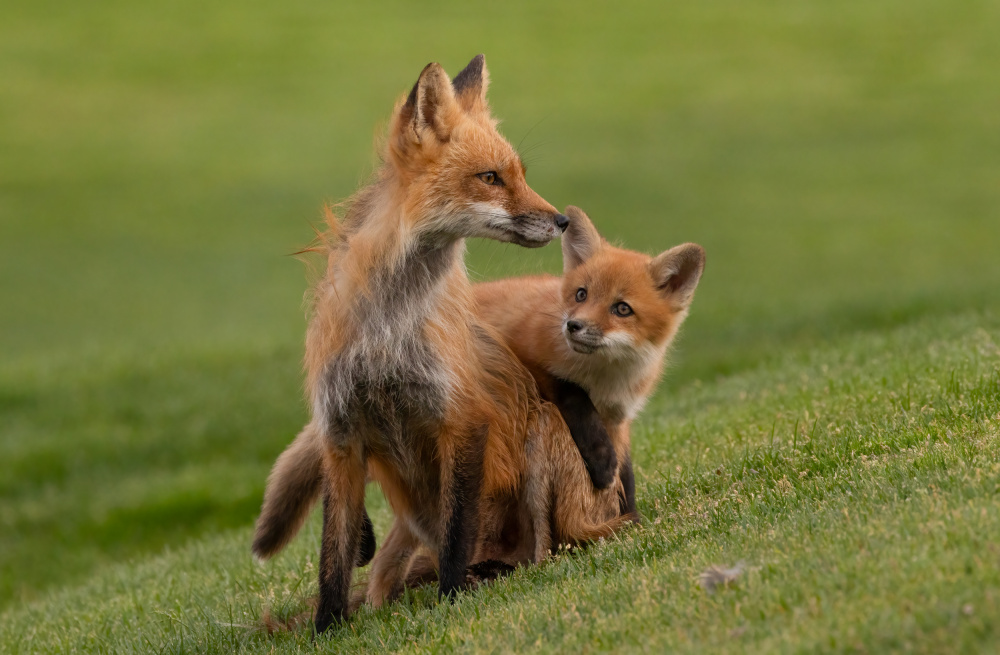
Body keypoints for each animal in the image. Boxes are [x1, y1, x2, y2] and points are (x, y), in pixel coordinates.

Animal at [251, 54, 578, 633]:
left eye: (520, 174)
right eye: (490, 178)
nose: (561, 220)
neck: (387, 332)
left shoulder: (462, 419)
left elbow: (456, 533)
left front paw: (451, 600)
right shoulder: (341, 433)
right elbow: (333, 556)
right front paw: (328, 629)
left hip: (543, 439)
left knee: (539, 549)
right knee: (385, 571)